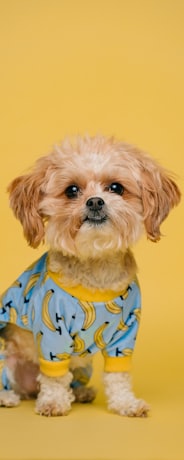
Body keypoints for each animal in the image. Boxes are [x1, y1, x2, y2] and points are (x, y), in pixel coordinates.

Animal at [0, 134, 181, 416]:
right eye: (71, 190)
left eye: (116, 187)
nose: (95, 201)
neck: (96, 268)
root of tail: (28, 389)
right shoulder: (51, 335)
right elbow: (54, 376)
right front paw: (54, 402)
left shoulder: (125, 334)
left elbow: (118, 375)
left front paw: (126, 404)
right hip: (6, 357)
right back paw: (8, 397)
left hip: (83, 365)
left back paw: (81, 392)